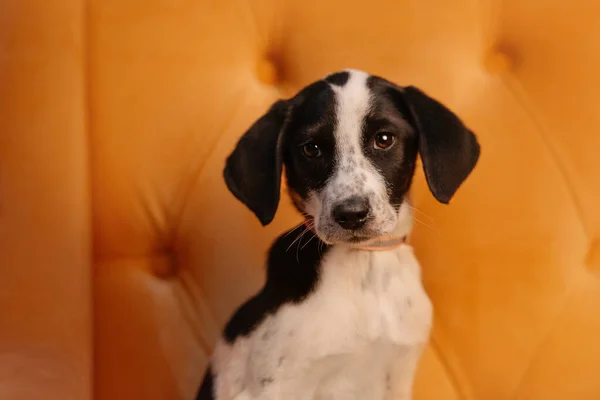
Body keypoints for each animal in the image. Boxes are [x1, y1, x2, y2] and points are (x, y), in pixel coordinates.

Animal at [198, 69, 482, 400]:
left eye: (384, 139)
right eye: (311, 148)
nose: (351, 215)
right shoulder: (272, 388)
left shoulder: (398, 378)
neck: (365, 267)